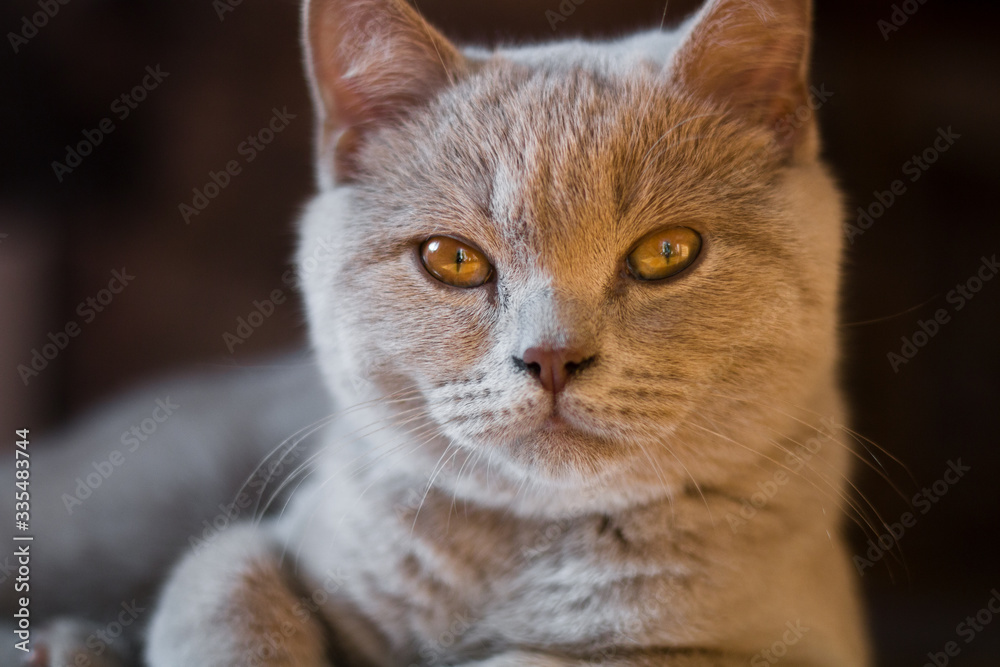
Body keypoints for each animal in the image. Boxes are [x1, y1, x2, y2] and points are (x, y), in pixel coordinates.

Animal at [7, 0, 872, 664]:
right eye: (452, 259)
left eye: (667, 252)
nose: (552, 354)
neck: (528, 554)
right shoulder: (263, 544)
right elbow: (226, 584)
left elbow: (551, 661)